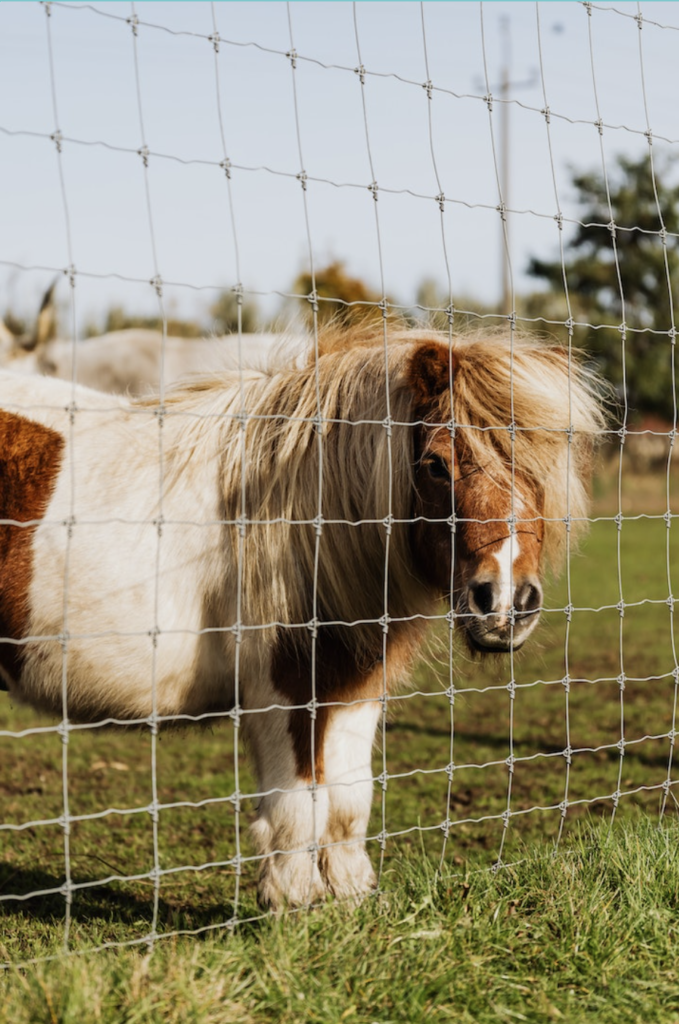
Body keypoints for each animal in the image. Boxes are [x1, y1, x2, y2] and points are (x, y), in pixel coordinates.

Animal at [1, 327, 606, 905]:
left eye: (547, 468)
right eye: (436, 464)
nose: (504, 604)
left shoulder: (354, 686)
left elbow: (348, 801)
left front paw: (349, 899)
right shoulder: (283, 689)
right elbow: (297, 808)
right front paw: (293, 903)